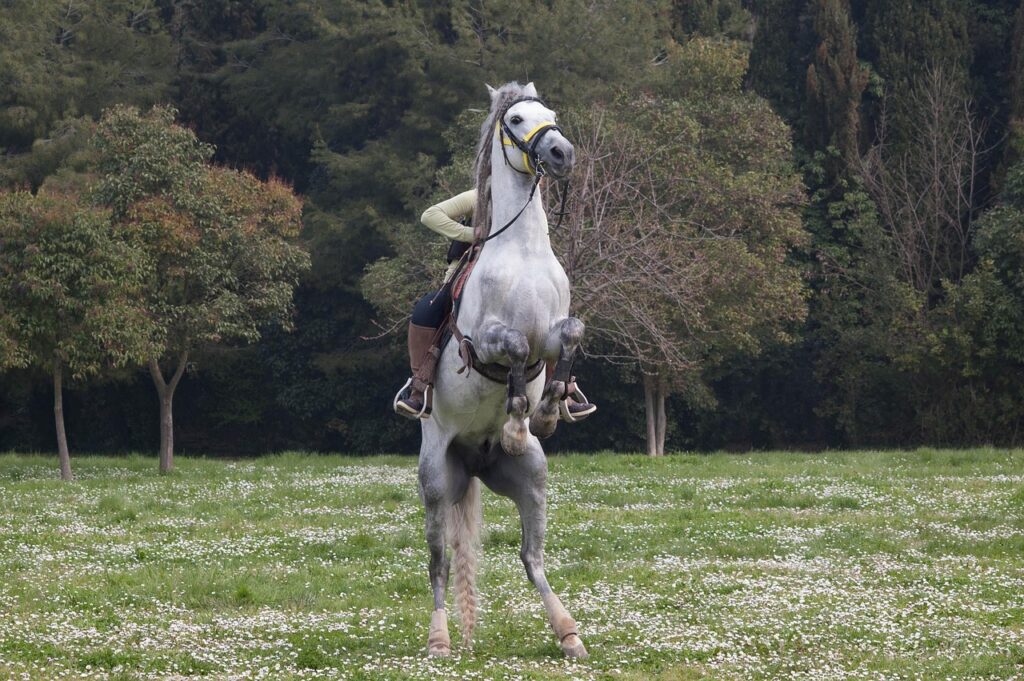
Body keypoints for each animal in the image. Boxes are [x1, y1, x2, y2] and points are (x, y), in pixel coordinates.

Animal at [417, 81, 589, 659]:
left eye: (551, 113)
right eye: (515, 119)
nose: (561, 152)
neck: (524, 250)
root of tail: (471, 460)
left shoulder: (554, 330)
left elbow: (569, 335)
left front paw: (552, 407)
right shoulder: (486, 340)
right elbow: (512, 347)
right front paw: (517, 419)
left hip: (531, 477)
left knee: (530, 557)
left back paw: (569, 634)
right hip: (435, 481)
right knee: (440, 561)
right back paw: (440, 640)